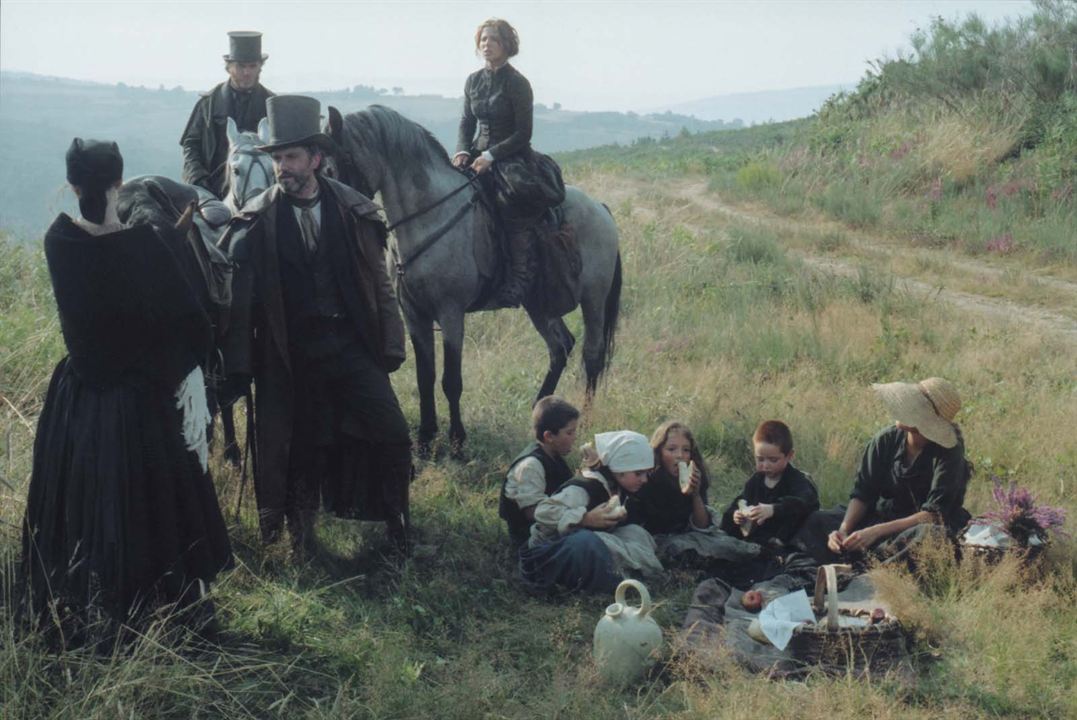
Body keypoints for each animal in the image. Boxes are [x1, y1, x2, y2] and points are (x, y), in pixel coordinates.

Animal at [323, 105, 620, 454]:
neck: (429, 216)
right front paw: (425, 439)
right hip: (539, 305)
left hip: (593, 300)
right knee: (560, 347)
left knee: (591, 354)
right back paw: (540, 410)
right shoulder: (414, 315)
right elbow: (425, 378)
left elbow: (451, 381)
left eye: (333, 165)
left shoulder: (451, 314)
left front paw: (457, 443)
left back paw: (584, 417)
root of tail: (599, 208)